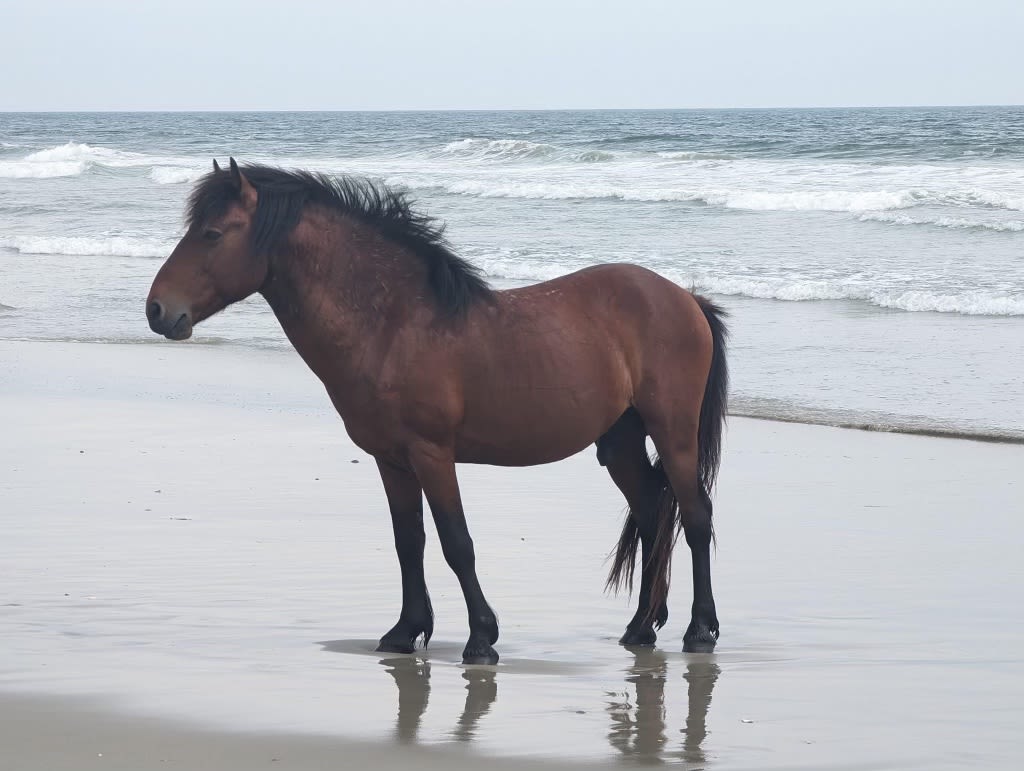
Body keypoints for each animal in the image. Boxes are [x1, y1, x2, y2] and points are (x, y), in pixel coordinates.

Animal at [149, 156, 729, 663]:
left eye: (212, 234)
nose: (157, 309)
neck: (393, 324)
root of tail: (686, 299)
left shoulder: (432, 454)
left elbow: (456, 543)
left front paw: (481, 639)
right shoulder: (391, 460)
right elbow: (409, 542)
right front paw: (405, 632)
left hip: (673, 434)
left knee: (696, 516)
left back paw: (700, 630)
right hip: (621, 442)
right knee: (653, 512)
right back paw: (640, 627)